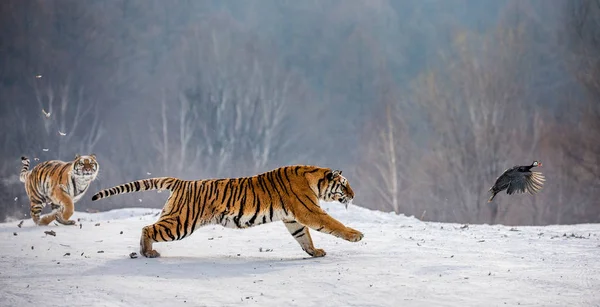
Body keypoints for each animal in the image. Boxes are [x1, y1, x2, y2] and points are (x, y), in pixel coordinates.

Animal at [91, 166, 364, 258]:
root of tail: (181, 182)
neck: (314, 179)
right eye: (345, 184)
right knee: (147, 227)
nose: (354, 194)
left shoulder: (293, 219)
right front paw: (356, 235)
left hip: (175, 218)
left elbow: (304, 237)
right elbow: (334, 224)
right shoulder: (310, 212)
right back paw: (147, 252)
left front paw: (314, 252)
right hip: (180, 223)